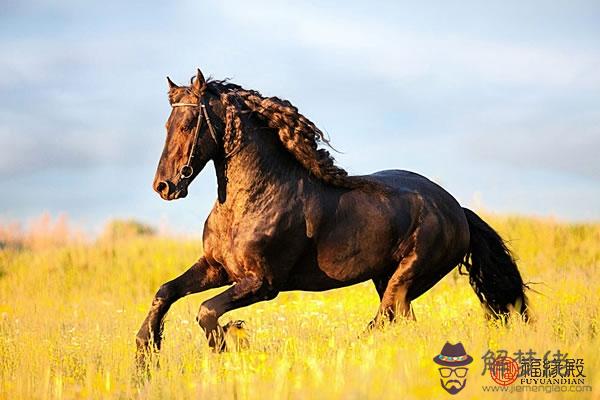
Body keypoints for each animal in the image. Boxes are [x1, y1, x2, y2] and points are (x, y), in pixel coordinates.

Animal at [135, 68, 524, 356]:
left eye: (188, 125)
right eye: (167, 126)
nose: (164, 186)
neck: (250, 202)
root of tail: (456, 208)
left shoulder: (263, 283)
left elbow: (206, 312)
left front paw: (232, 341)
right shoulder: (217, 268)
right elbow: (165, 292)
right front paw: (146, 352)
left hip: (406, 277)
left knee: (384, 318)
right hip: (387, 279)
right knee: (399, 321)